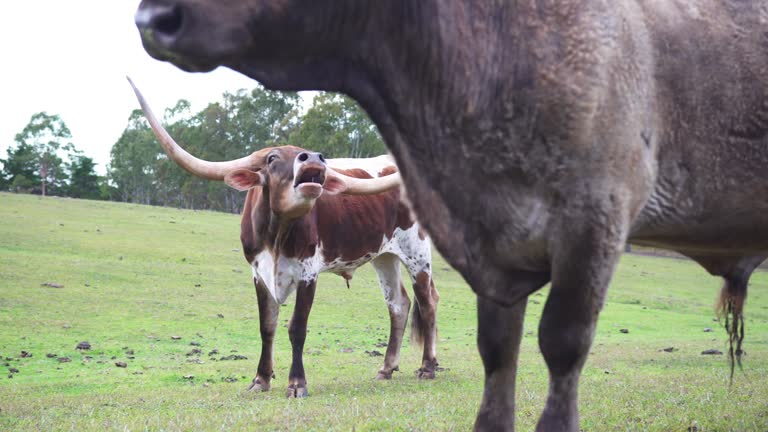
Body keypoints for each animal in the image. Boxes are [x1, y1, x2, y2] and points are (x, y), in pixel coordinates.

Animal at [126, 81, 438, 398]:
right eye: (272, 158)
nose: (314, 157)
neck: (276, 235)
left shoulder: (308, 272)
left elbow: (297, 326)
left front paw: (296, 383)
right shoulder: (258, 272)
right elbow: (267, 325)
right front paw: (260, 379)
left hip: (417, 253)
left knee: (428, 302)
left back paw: (428, 367)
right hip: (384, 256)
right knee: (398, 304)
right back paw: (386, 369)